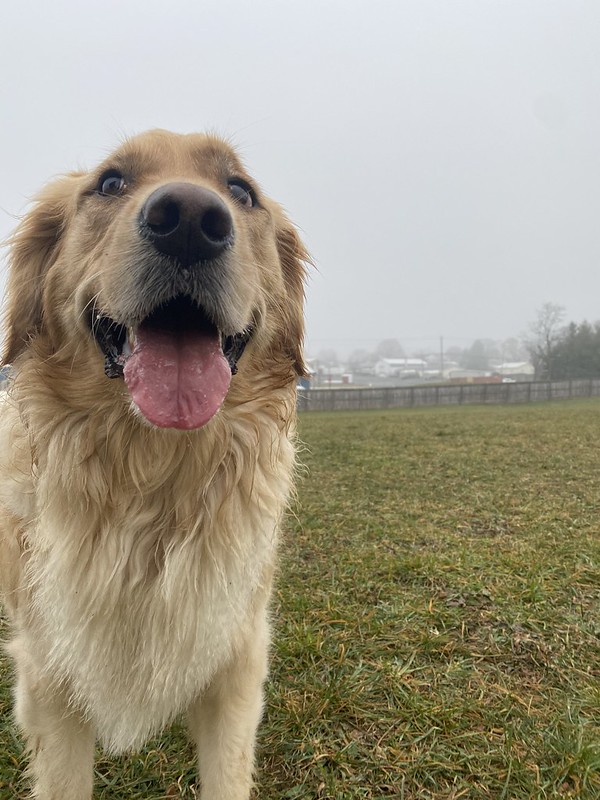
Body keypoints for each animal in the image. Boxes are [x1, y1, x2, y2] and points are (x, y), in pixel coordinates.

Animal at [0, 131, 308, 800]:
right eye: (111, 182)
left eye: (240, 190)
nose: (190, 222)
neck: (153, 481)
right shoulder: (50, 678)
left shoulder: (235, 662)